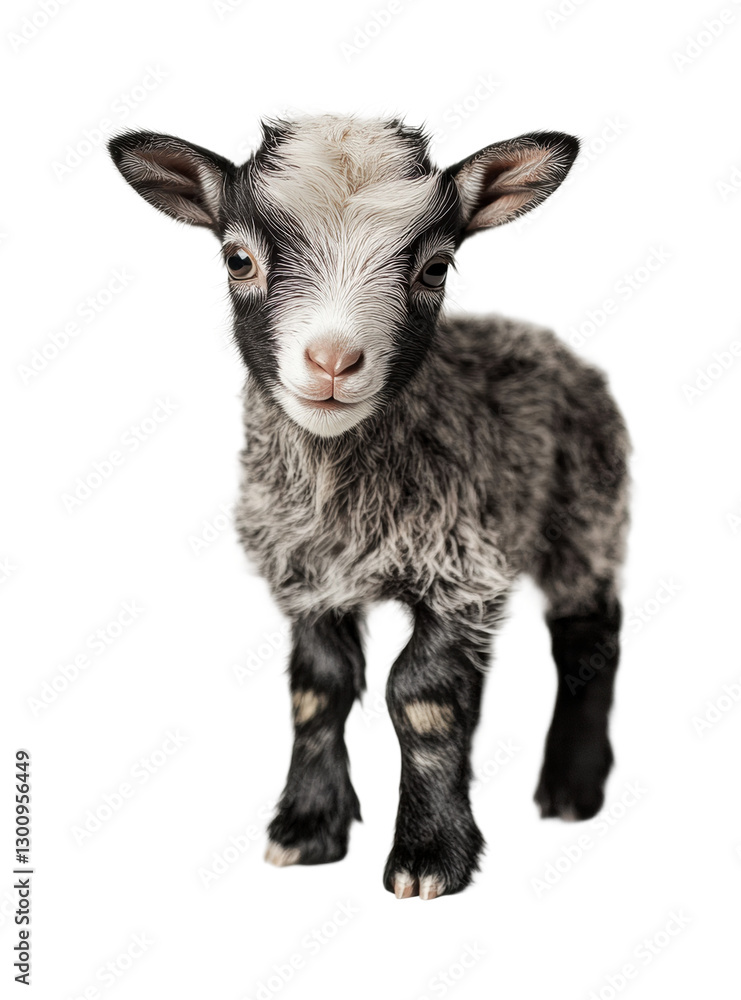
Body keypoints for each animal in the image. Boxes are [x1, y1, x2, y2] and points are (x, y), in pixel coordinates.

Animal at [108, 114, 629, 900]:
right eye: (237, 259)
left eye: (435, 268)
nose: (331, 362)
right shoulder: (306, 578)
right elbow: (318, 690)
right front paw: (306, 828)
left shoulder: (460, 569)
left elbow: (419, 697)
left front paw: (428, 854)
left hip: (589, 513)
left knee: (589, 634)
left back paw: (571, 787)